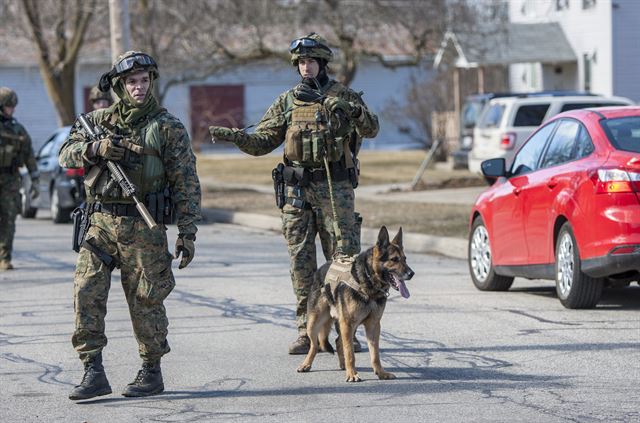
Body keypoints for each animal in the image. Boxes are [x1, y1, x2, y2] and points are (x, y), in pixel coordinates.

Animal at [296, 227, 416, 382]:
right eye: (394, 259)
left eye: (405, 259)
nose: (411, 273)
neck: (368, 281)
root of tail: (321, 269)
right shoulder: (348, 323)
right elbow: (350, 353)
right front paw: (352, 374)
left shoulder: (373, 326)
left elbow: (375, 354)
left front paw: (380, 372)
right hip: (315, 323)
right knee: (315, 345)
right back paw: (306, 364)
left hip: (347, 326)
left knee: (338, 341)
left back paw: (343, 365)